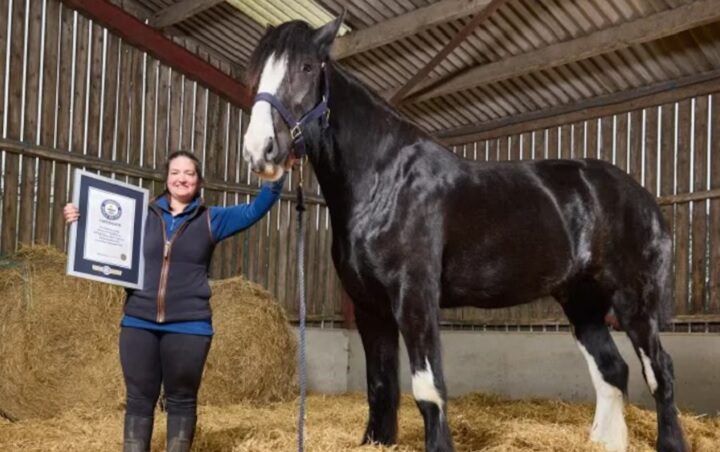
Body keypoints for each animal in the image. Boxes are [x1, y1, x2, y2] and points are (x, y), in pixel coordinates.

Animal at [242, 15, 688, 452]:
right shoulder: (369, 306)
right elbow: (380, 387)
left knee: (660, 371)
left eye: (306, 67)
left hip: (635, 301)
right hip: (582, 301)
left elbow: (427, 388)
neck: (385, 178)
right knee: (612, 370)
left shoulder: (415, 297)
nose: (260, 150)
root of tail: (642, 197)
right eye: (257, 72)